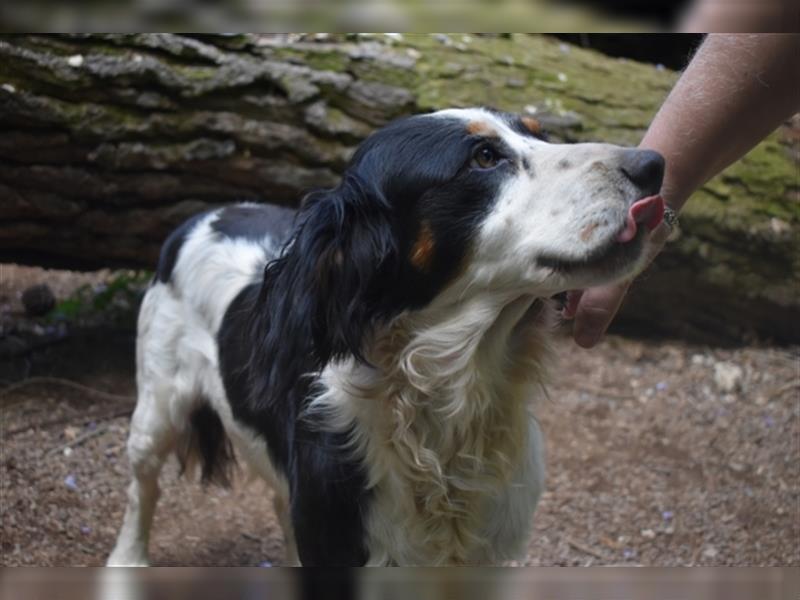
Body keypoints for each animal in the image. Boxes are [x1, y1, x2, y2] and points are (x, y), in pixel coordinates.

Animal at [109, 106, 664, 568]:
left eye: (539, 135)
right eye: (484, 157)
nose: (654, 164)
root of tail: (205, 214)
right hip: (156, 407)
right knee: (142, 488)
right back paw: (127, 561)